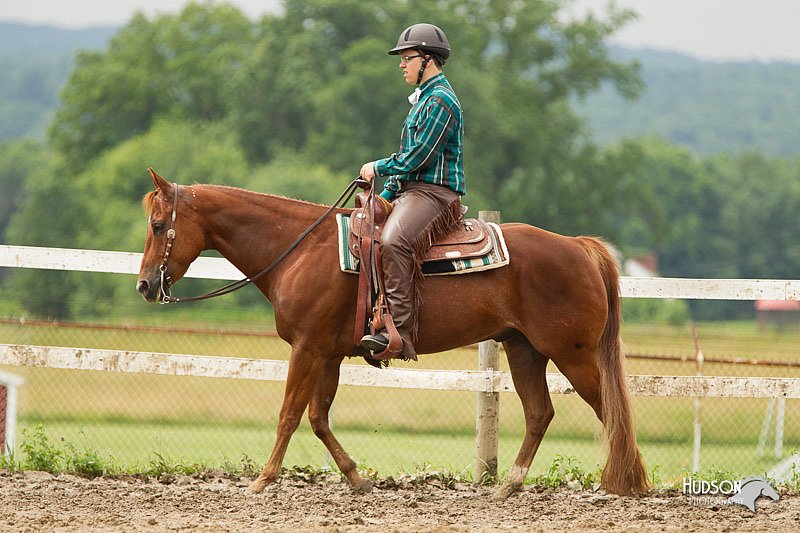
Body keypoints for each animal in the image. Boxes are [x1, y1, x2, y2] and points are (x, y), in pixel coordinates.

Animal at [138, 168, 648, 496]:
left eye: (159, 225)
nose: (145, 285)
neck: (301, 250)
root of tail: (578, 247)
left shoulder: (307, 348)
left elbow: (289, 414)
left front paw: (263, 480)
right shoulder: (328, 354)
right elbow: (318, 418)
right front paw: (356, 478)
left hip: (573, 354)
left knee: (610, 409)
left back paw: (627, 483)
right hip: (524, 350)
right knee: (541, 414)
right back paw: (510, 486)